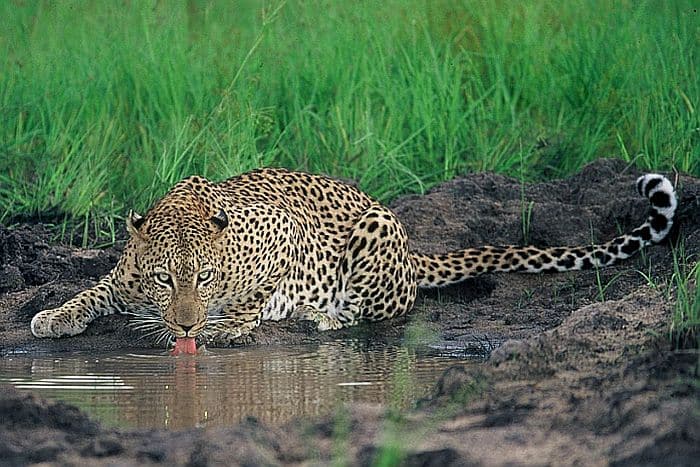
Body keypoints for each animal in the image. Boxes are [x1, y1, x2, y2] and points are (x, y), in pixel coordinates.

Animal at [30, 168, 677, 352]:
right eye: (166, 279)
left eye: (206, 277)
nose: (187, 326)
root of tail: (415, 254)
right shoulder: (125, 277)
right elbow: (95, 290)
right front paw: (53, 316)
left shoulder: (282, 231)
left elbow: (256, 295)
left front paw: (229, 325)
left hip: (377, 231)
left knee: (374, 311)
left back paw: (322, 317)